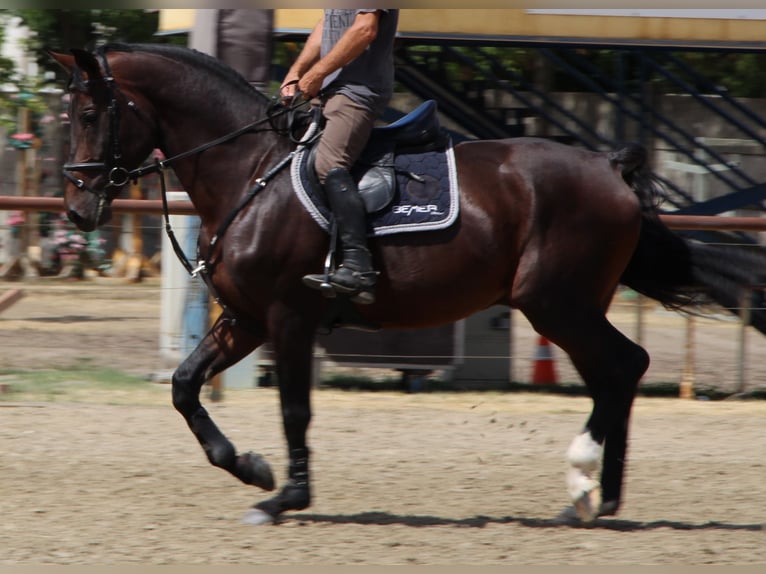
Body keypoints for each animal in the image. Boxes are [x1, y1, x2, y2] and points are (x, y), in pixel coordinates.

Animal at [49, 44, 766, 528]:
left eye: (87, 112)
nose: (77, 211)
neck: (249, 171)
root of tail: (610, 166)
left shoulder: (287, 318)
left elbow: (294, 409)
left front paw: (288, 496)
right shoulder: (246, 318)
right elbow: (184, 386)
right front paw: (250, 467)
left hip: (555, 302)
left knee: (619, 368)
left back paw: (585, 479)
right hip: (567, 305)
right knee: (618, 370)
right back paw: (595, 497)